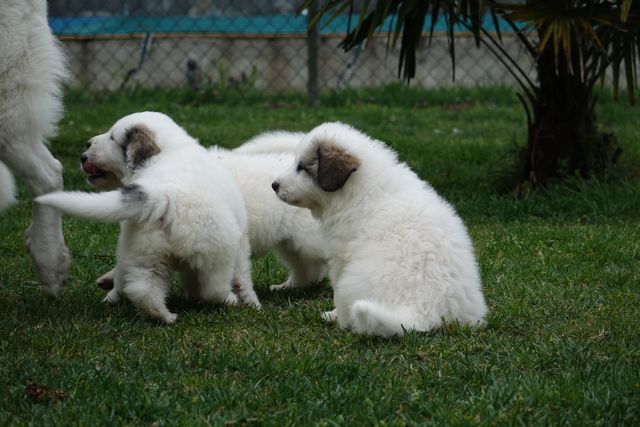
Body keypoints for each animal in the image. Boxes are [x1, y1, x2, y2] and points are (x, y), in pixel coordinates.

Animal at [35, 113, 258, 324]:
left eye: (112, 137)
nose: (86, 148)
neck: (170, 150)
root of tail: (163, 195)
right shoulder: (240, 240)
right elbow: (243, 272)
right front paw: (251, 301)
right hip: (215, 253)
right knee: (213, 288)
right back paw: (226, 299)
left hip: (145, 250)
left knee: (144, 290)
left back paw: (162, 316)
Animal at [272, 122, 490, 340]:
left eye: (302, 167)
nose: (274, 185)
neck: (358, 191)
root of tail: (427, 311)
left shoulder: (340, 256)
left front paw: (332, 314)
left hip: (351, 282)